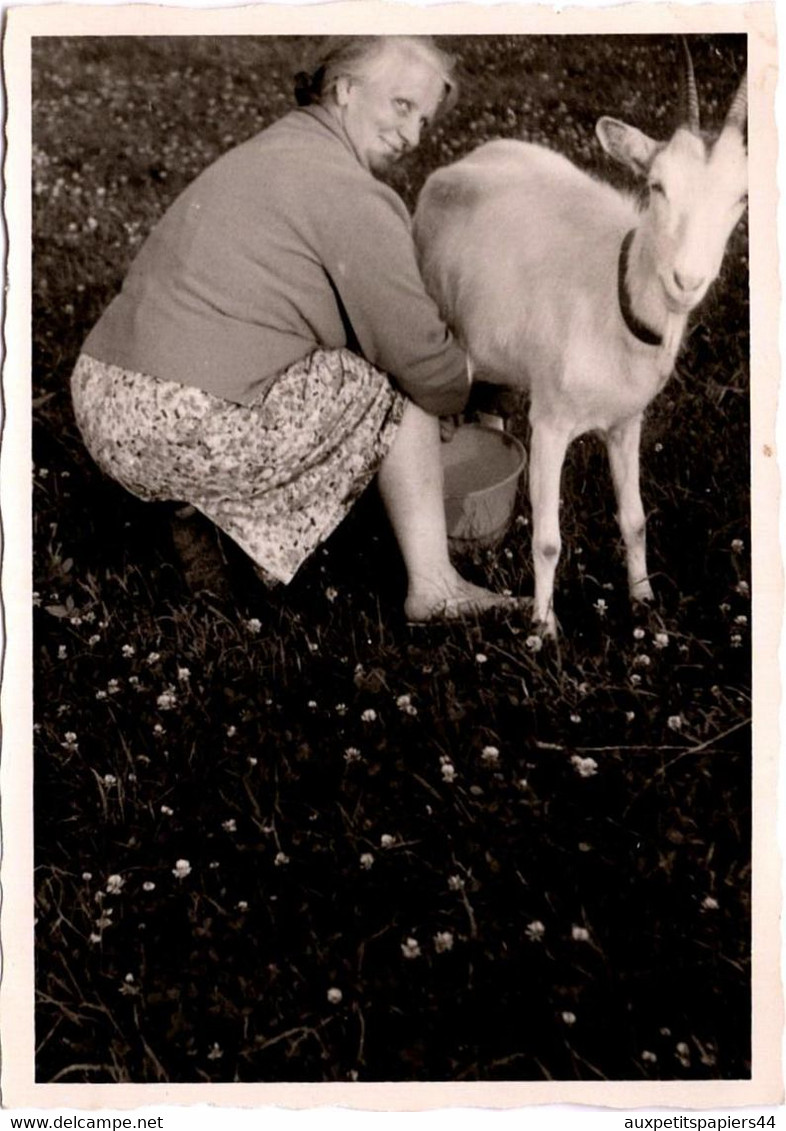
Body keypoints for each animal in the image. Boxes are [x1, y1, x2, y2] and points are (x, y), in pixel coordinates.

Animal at [416, 46, 746, 637]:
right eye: (657, 185)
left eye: (741, 198)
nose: (686, 281)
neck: (612, 300)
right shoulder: (550, 421)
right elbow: (548, 541)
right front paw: (544, 630)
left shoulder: (627, 420)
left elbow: (635, 519)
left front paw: (644, 601)